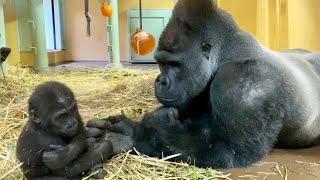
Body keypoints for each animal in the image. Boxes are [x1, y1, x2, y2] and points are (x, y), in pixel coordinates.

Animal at [86, 0, 320, 169]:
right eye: (161, 63)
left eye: (174, 64)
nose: (160, 80)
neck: (226, 54)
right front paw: (124, 134)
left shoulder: (246, 82)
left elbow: (228, 152)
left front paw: (139, 131)